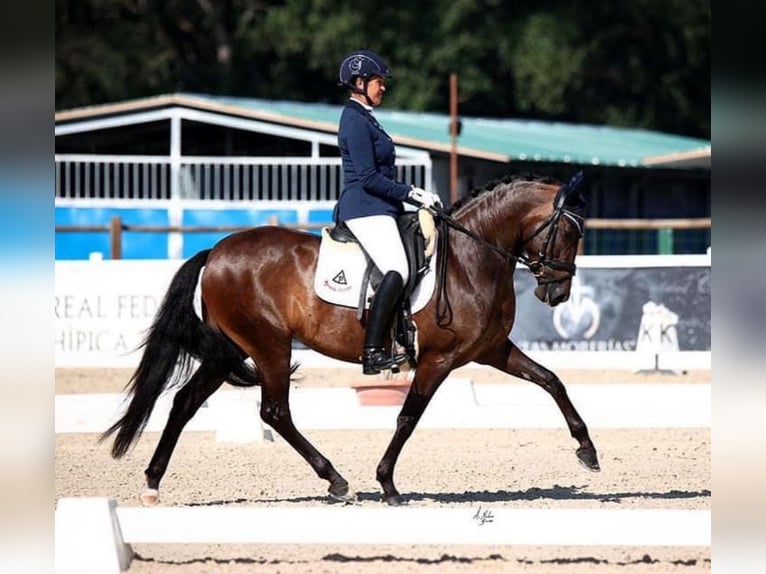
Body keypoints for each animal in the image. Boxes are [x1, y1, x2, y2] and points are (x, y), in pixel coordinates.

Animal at [102, 172, 604, 508]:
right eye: (567, 230)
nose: (557, 293)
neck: (470, 257)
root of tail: (217, 251)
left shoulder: (491, 350)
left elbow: (551, 380)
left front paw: (587, 450)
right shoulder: (438, 359)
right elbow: (408, 417)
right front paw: (388, 484)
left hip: (233, 348)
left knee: (185, 402)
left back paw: (152, 483)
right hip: (267, 345)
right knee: (274, 411)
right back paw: (336, 480)